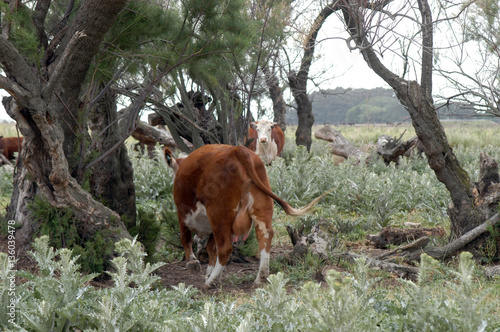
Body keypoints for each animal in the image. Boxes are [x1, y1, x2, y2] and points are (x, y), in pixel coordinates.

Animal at [164, 145, 328, 288]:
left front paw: (194, 264)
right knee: (265, 235)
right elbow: (210, 249)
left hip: (219, 213)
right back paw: (260, 276)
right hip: (261, 206)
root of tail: (237, 150)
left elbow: (187, 239)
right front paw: (208, 273)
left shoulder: (183, 215)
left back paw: (212, 282)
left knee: (225, 248)